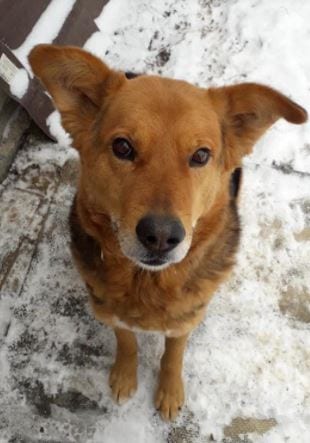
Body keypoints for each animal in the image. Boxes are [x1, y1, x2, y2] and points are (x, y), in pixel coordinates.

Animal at [29, 46, 308, 424]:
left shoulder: (186, 319)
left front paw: (170, 391)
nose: (161, 236)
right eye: (122, 147)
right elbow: (126, 341)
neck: (146, 282)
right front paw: (124, 375)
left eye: (201, 155)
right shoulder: (109, 311)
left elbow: (173, 354)